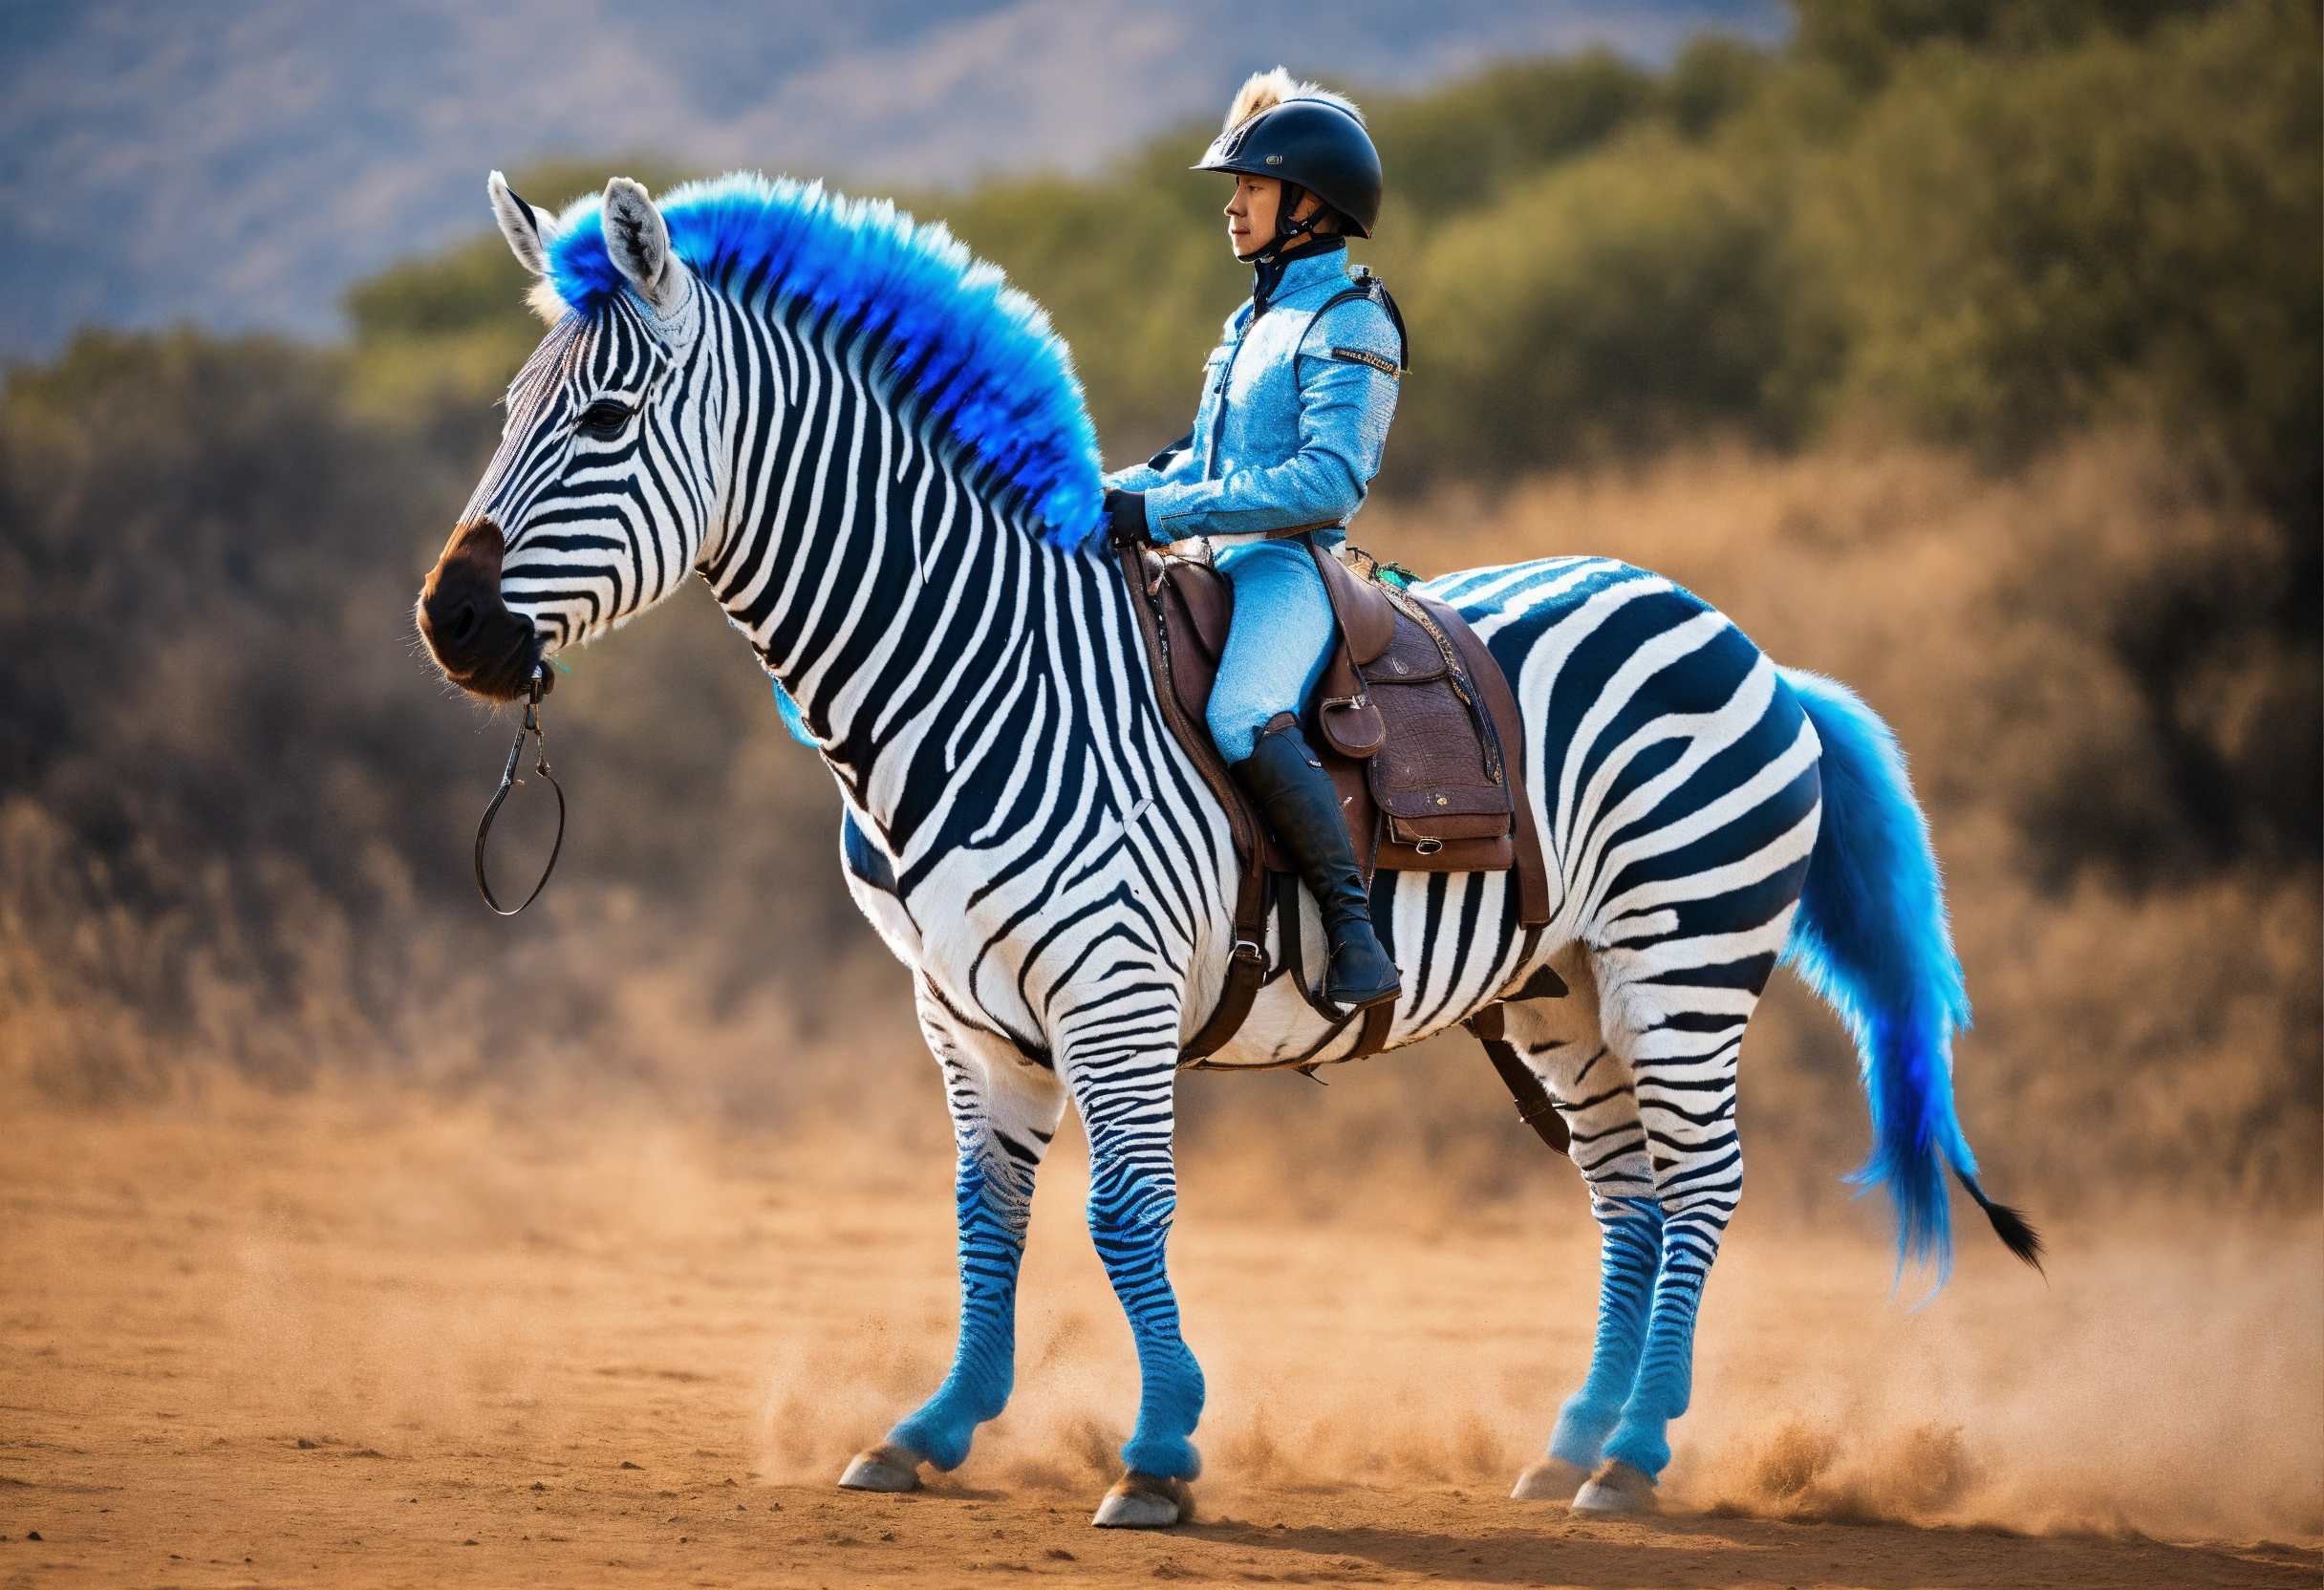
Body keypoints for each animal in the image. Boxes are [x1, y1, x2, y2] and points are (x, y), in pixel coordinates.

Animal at [417, 171, 2038, 1528]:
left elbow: (1124, 1215)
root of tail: (1738, 635)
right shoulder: (962, 1012)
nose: (450, 625)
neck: (975, 677)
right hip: (1560, 985)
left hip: (1681, 959)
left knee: (1701, 1184)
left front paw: (1158, 1452)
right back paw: (1578, 1442)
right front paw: (933, 1430)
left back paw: (1636, 1458)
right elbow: (984, 1216)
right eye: (509, 408)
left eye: (607, 420)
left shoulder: (1114, 988)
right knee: (1627, 1188)